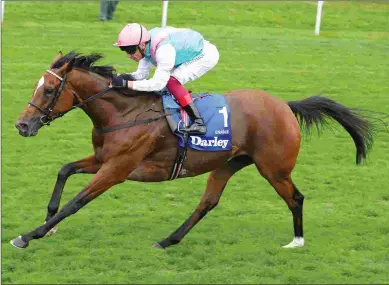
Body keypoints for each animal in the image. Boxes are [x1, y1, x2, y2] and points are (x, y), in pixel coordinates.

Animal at [10, 51, 372, 248]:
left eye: (50, 89)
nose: (22, 126)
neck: (123, 113)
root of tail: (284, 105)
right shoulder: (103, 159)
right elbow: (64, 170)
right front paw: (50, 220)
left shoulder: (117, 169)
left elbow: (78, 201)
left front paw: (28, 236)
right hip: (228, 163)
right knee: (207, 202)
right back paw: (168, 240)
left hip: (274, 168)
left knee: (295, 198)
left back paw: (297, 241)